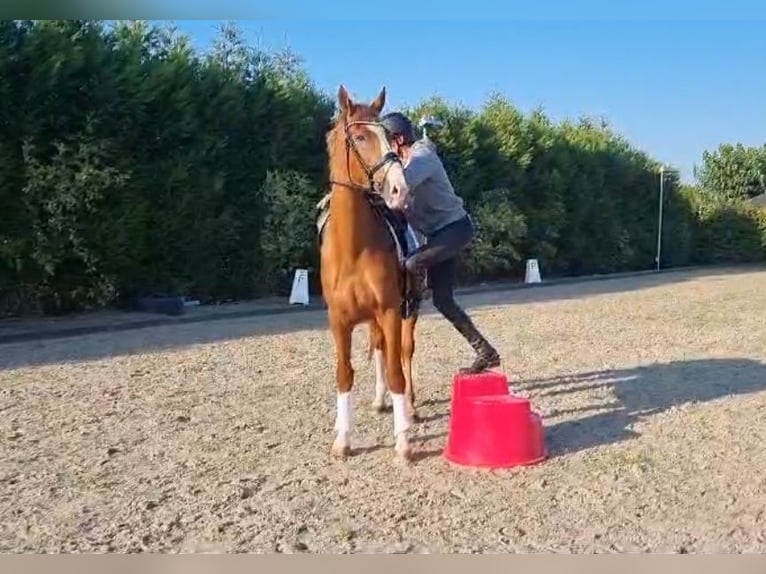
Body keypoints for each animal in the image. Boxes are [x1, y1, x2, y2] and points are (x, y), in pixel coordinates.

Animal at [320, 85, 424, 464]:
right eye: (360, 136)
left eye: (389, 138)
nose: (398, 189)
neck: (353, 250)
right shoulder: (339, 320)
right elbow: (344, 374)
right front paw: (342, 440)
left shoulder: (392, 311)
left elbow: (396, 370)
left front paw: (403, 442)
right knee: (379, 347)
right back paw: (380, 402)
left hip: (410, 309)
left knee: (403, 352)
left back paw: (409, 409)